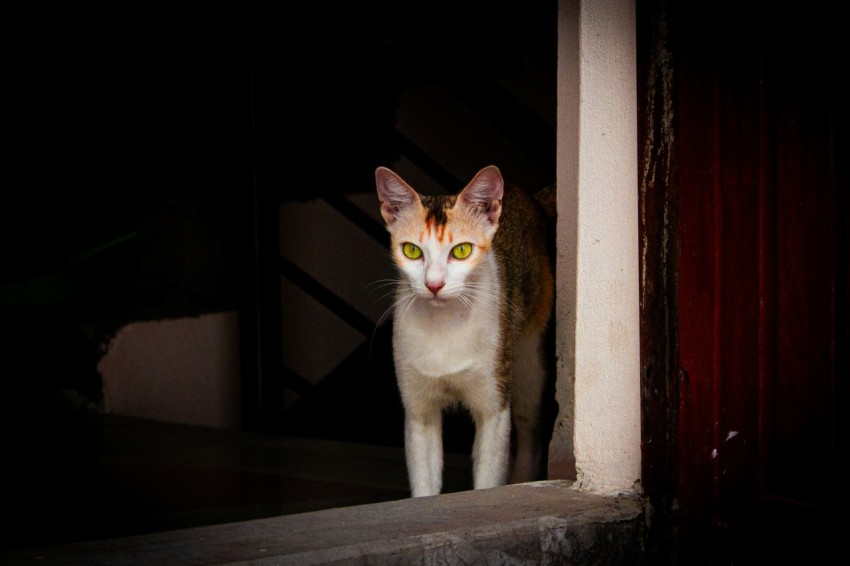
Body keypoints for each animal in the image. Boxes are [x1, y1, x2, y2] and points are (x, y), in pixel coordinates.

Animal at [374, 163, 552, 496]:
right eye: (412, 251)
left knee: (530, 432)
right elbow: (424, 485)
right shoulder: (418, 409)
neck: (445, 324)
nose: (434, 284)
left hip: (528, 362)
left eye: (461, 251)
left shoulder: (494, 405)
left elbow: (487, 479)